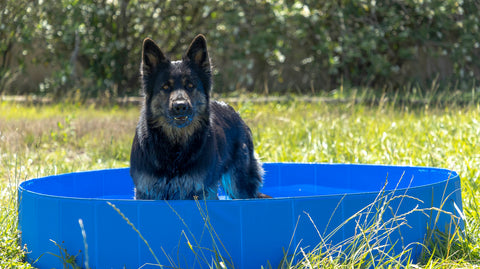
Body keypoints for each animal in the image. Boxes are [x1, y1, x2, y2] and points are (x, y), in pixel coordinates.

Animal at [129, 34, 268, 199]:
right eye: (165, 87)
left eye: (190, 85)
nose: (180, 106)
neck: (175, 146)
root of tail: (232, 110)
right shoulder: (145, 192)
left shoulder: (201, 191)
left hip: (239, 186)